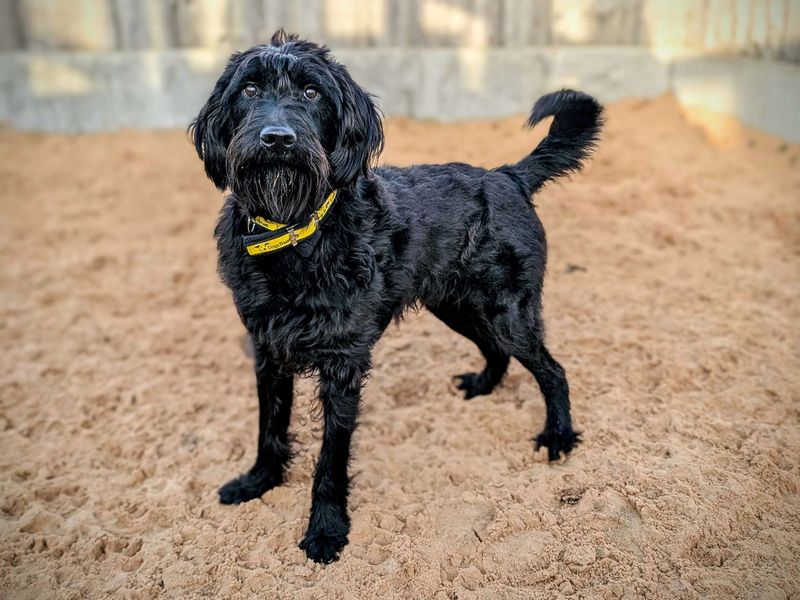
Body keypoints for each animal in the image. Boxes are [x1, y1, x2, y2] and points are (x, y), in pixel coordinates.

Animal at [191, 29, 604, 564]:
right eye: (249, 89)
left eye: (311, 93)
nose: (277, 138)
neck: (296, 235)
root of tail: (508, 175)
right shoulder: (268, 350)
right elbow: (270, 428)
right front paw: (258, 482)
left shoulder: (343, 365)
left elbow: (331, 458)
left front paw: (326, 530)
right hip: (458, 306)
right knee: (497, 352)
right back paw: (482, 385)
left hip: (507, 312)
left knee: (553, 371)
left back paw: (558, 436)